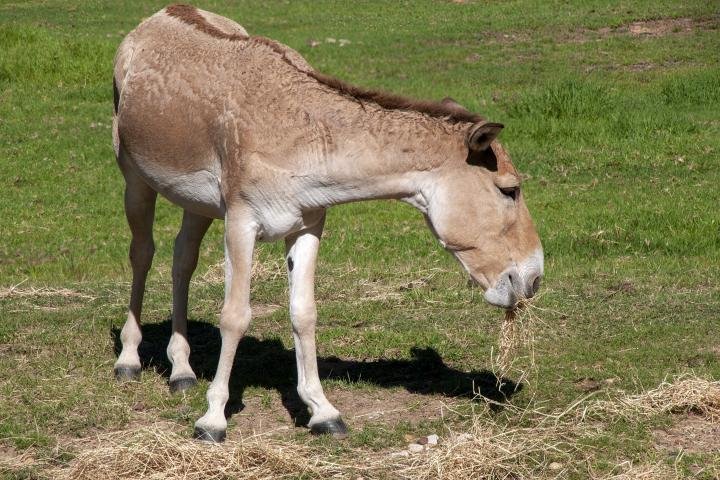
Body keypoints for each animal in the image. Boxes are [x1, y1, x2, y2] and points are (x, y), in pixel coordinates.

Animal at [112, 4, 540, 442]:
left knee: (182, 259)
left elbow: (304, 313)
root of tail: (164, 13)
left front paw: (322, 411)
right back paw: (129, 359)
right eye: (510, 190)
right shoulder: (240, 223)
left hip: (197, 203)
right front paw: (213, 419)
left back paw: (181, 370)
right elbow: (234, 316)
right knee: (142, 254)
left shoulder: (307, 226)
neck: (299, 134)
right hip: (134, 178)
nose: (533, 279)